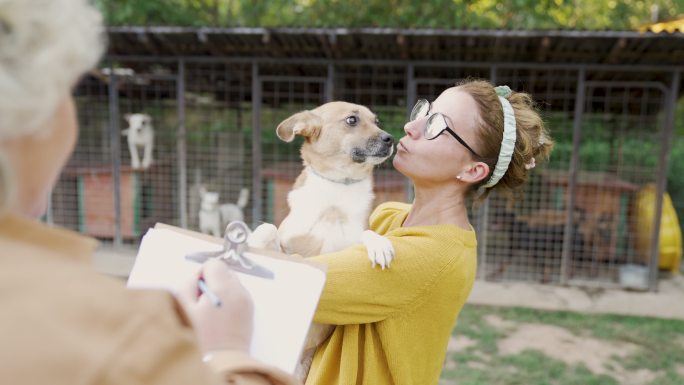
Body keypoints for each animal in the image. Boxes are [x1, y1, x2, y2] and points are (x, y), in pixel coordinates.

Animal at [246, 100, 396, 380]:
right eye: (351, 120)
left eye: (377, 121)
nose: (390, 138)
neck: (338, 189)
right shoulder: (287, 242)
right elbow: (268, 229)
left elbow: (366, 232)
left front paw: (379, 244)